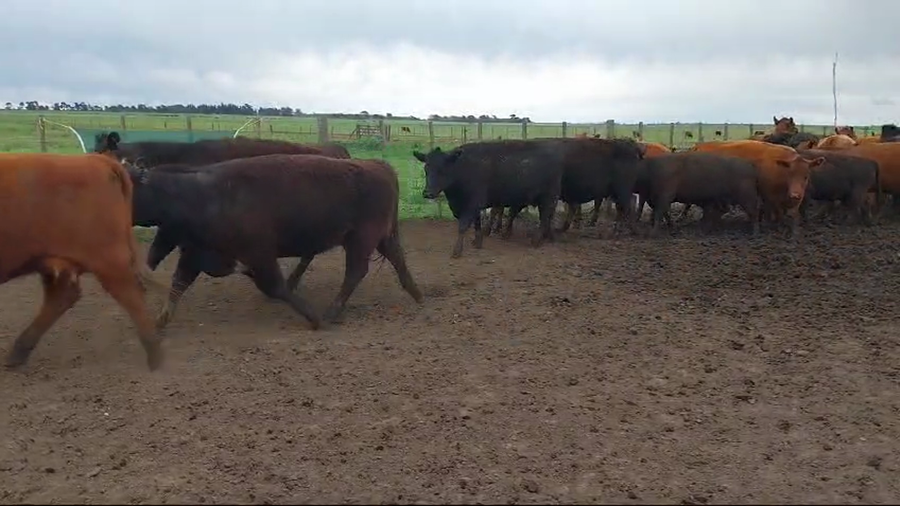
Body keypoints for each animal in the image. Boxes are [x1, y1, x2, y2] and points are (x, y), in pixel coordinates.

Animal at [0, 153, 164, 371]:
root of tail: (95, 159)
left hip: (108, 260)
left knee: (132, 296)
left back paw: (155, 359)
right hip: (54, 261)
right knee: (61, 297)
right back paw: (19, 351)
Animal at [126, 154, 423, 329]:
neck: (200, 195)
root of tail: (378, 165)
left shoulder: (258, 253)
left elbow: (274, 286)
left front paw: (313, 317)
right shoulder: (195, 253)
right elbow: (178, 283)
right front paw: (160, 321)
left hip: (361, 238)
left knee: (355, 271)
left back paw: (331, 312)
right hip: (376, 237)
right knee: (396, 258)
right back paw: (417, 294)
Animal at [412, 140, 565, 258]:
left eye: (442, 170)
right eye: (426, 169)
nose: (427, 193)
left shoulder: (472, 204)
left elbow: (463, 226)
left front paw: (457, 251)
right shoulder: (473, 206)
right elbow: (477, 223)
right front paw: (477, 242)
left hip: (549, 198)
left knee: (545, 217)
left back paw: (536, 240)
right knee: (546, 217)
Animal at [691, 140, 825, 236]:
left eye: (806, 176)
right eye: (790, 174)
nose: (795, 195)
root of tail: (698, 147)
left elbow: (793, 215)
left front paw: (794, 231)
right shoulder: (771, 196)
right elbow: (776, 212)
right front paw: (776, 227)